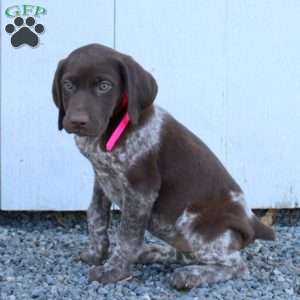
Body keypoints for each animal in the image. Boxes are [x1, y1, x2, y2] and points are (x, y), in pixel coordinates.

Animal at [52, 43, 276, 290]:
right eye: (68, 85)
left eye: (104, 86)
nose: (77, 121)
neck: (113, 127)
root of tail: (253, 223)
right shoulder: (102, 178)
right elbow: (96, 216)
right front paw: (95, 254)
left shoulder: (141, 190)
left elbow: (127, 236)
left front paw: (113, 271)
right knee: (185, 253)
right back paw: (153, 253)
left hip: (193, 224)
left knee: (237, 266)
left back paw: (190, 275)